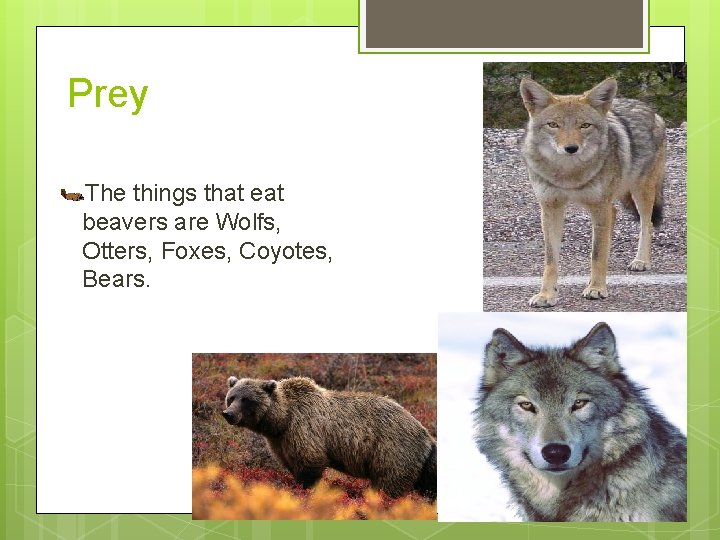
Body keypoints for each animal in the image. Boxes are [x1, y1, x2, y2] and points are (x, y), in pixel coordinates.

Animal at [222, 376, 436, 500]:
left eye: (246, 399)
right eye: (232, 397)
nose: (228, 414)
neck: (282, 420)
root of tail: (426, 433)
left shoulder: (304, 429)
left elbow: (310, 463)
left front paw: (307, 489)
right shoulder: (281, 442)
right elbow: (290, 463)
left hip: (392, 449)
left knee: (389, 483)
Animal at [519, 77, 666, 307]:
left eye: (584, 125)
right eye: (553, 125)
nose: (571, 148)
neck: (569, 175)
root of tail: (650, 109)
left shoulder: (598, 207)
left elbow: (596, 255)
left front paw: (596, 288)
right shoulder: (550, 209)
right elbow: (551, 260)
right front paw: (546, 295)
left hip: (640, 191)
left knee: (647, 223)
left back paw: (641, 261)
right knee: (616, 215)